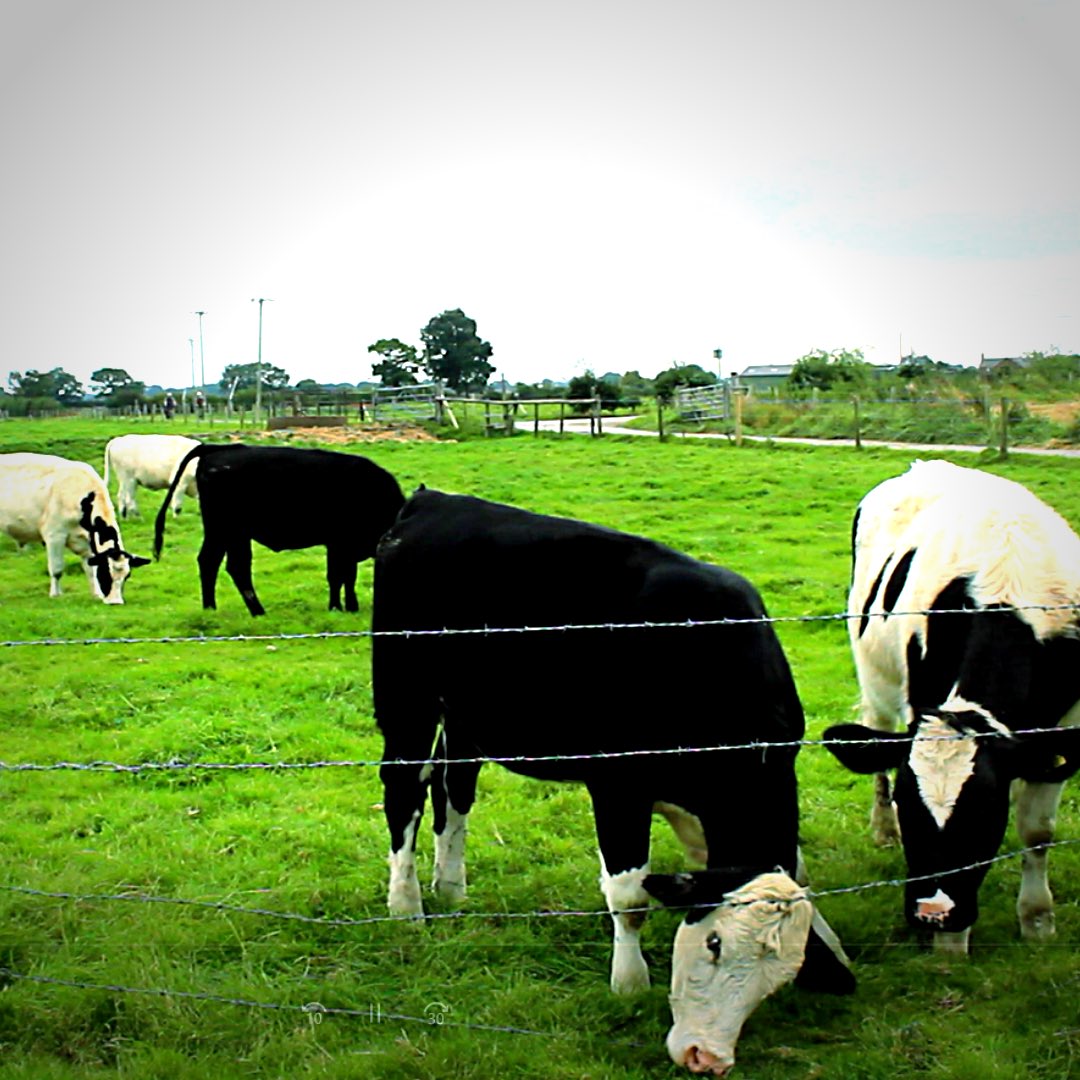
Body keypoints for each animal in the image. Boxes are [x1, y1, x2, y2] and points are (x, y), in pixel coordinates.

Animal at [0, 451, 152, 604]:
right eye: (105, 573)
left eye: (127, 576)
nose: (115, 602)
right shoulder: (54, 535)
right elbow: (57, 569)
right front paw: (55, 594)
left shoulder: (87, 542)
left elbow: (90, 570)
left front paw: (96, 595)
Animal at [153, 442, 406, 617]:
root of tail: (218, 449)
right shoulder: (341, 543)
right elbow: (340, 576)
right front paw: (342, 608)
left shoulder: (342, 546)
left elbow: (343, 577)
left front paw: (344, 606)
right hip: (224, 529)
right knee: (217, 563)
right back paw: (235, 609)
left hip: (234, 534)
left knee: (228, 565)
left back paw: (229, 609)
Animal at [375, 492, 855, 1080]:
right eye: (714, 943)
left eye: (777, 980)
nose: (708, 1057)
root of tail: (432, 500)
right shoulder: (617, 784)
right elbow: (630, 897)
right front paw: (629, 982)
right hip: (407, 701)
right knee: (405, 789)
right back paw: (407, 906)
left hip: (469, 716)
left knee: (454, 785)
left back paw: (451, 887)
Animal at [825, 460, 1080, 950]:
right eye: (909, 804)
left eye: (983, 813)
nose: (934, 913)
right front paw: (951, 947)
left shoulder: (1061, 728)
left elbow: (1037, 831)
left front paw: (1037, 919)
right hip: (874, 675)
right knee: (877, 746)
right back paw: (883, 831)